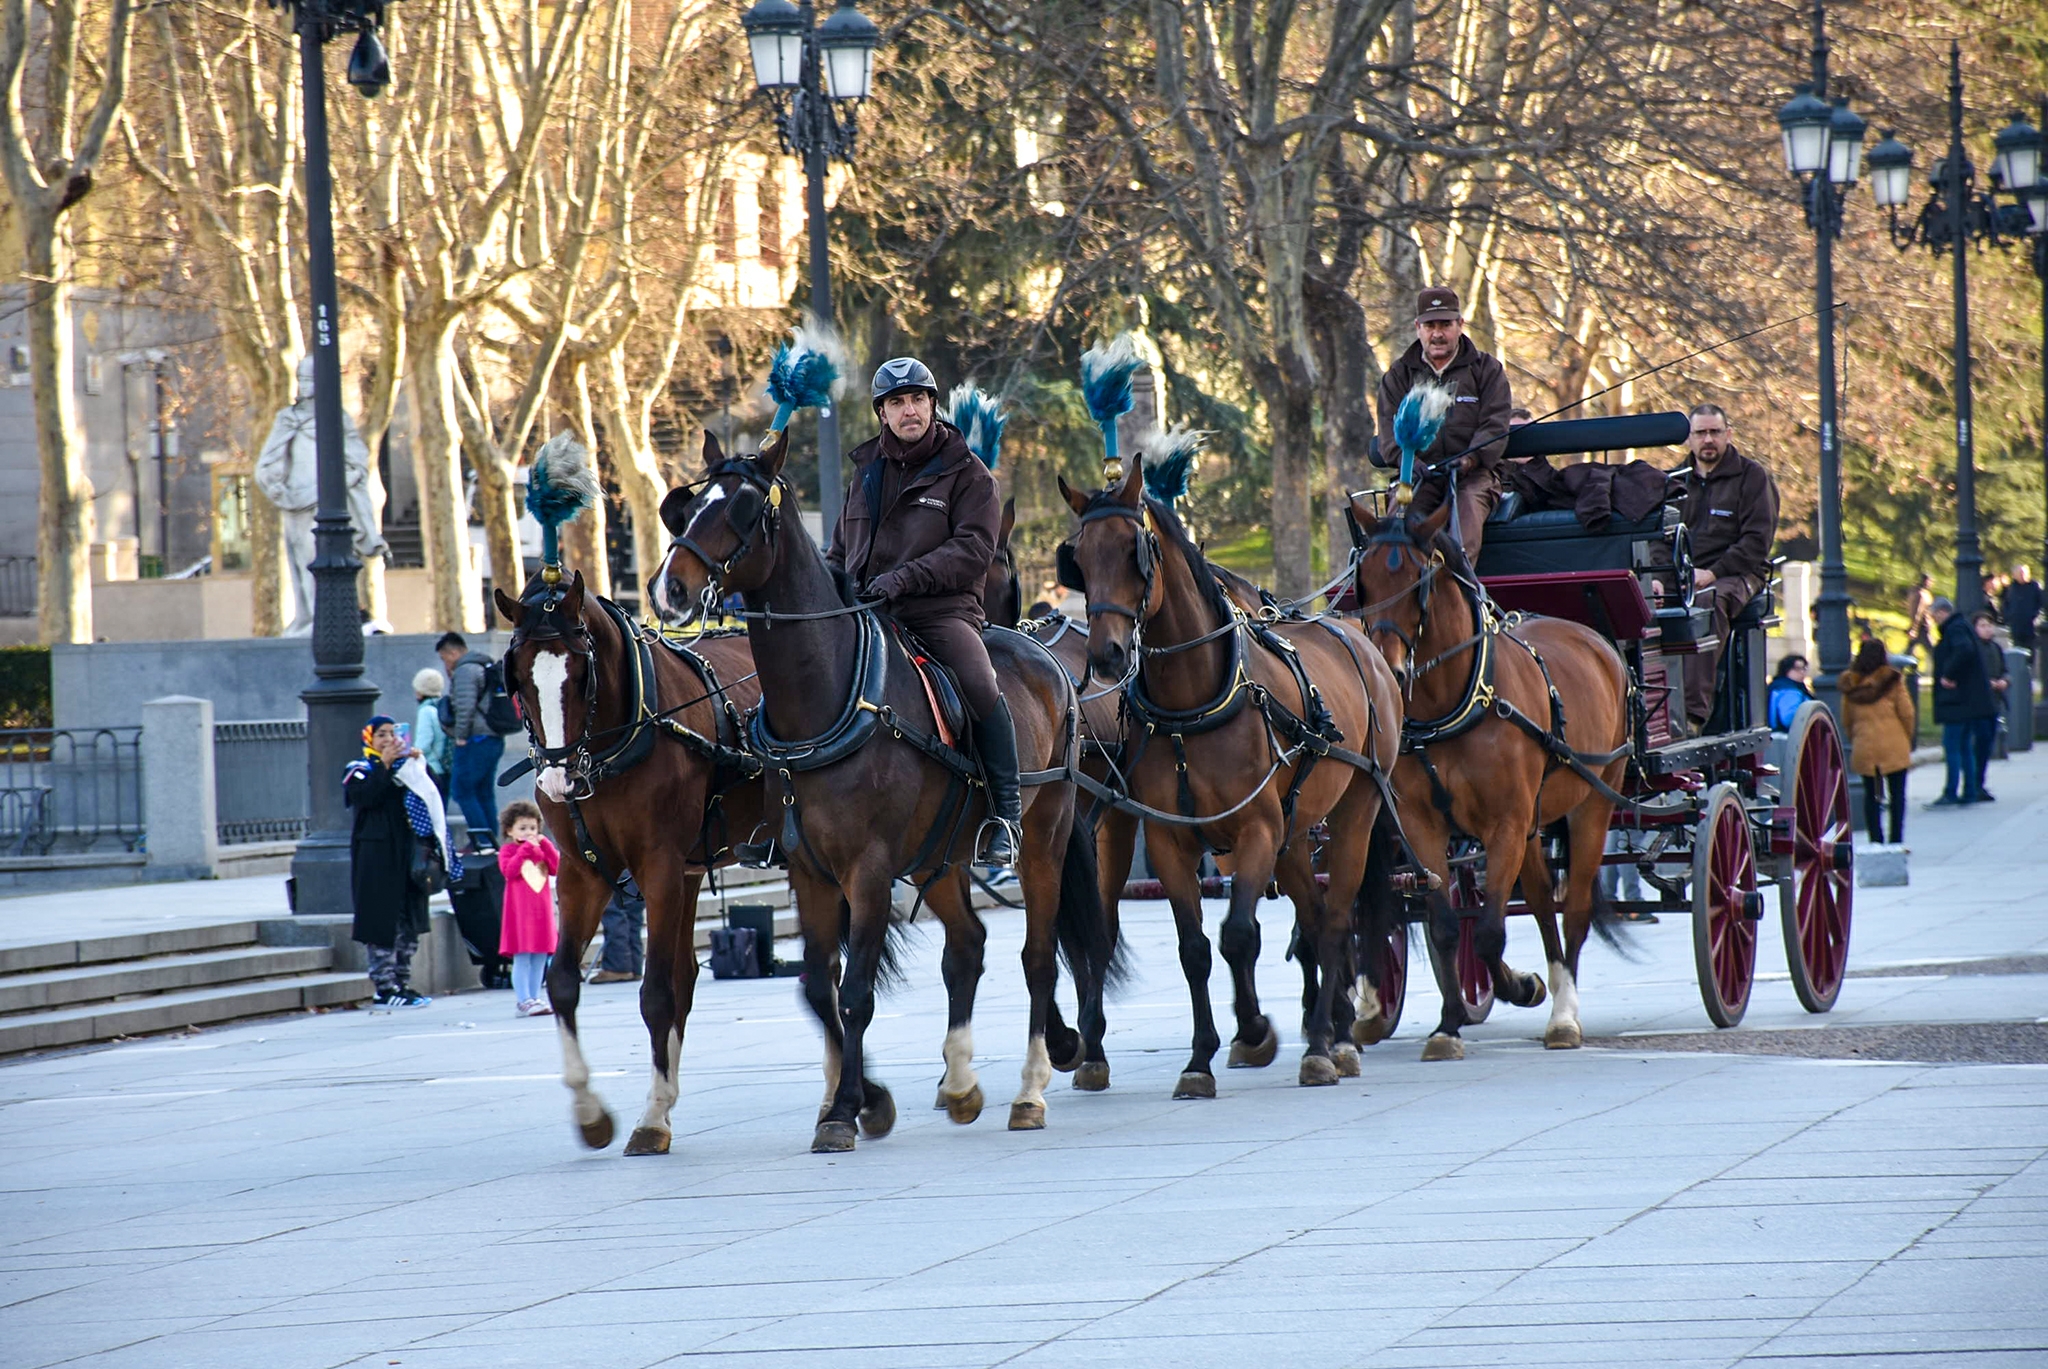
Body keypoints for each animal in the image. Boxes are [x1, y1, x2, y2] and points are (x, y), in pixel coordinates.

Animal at [495, 565, 770, 1155]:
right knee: (687, 976)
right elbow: (563, 983)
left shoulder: (659, 867)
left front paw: (651, 1121)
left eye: (581, 674)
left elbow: (655, 994)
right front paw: (591, 1111)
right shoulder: (582, 875)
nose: (559, 781)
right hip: (690, 873)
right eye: (520, 681)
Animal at [647, 432, 1122, 1147]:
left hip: (1044, 839)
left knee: (1039, 957)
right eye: (688, 505)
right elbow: (819, 988)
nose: (668, 588)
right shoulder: (810, 873)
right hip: (938, 856)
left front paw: (846, 1108)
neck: (824, 697)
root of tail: (1051, 662)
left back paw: (1031, 1088)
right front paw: (863, 1097)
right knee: (968, 947)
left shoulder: (867, 872)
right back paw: (961, 1084)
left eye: (745, 507)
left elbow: (856, 994)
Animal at [1056, 465, 1409, 1098]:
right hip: (1293, 835)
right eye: (1081, 558)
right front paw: (1202, 1058)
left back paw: (1329, 1045)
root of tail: (1358, 636)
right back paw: (1333, 1027)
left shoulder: (1257, 830)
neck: (1190, 703)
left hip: (1354, 811)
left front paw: (1255, 1030)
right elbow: (1196, 948)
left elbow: (1239, 934)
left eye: (1132, 552)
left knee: (1335, 918)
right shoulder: (1173, 841)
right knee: (1312, 920)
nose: (1107, 654)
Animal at [1343, 500, 1630, 1057]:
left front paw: (1519, 987)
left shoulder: (1504, 825)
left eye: (1418, 580)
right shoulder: (1423, 826)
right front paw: (1449, 1024)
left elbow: (1491, 931)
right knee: (1541, 903)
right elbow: (1448, 927)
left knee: (1575, 910)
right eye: (1362, 581)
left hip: (1594, 801)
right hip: (1534, 825)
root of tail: (1595, 640)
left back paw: (1565, 1013)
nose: (1388, 669)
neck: (1457, 700)